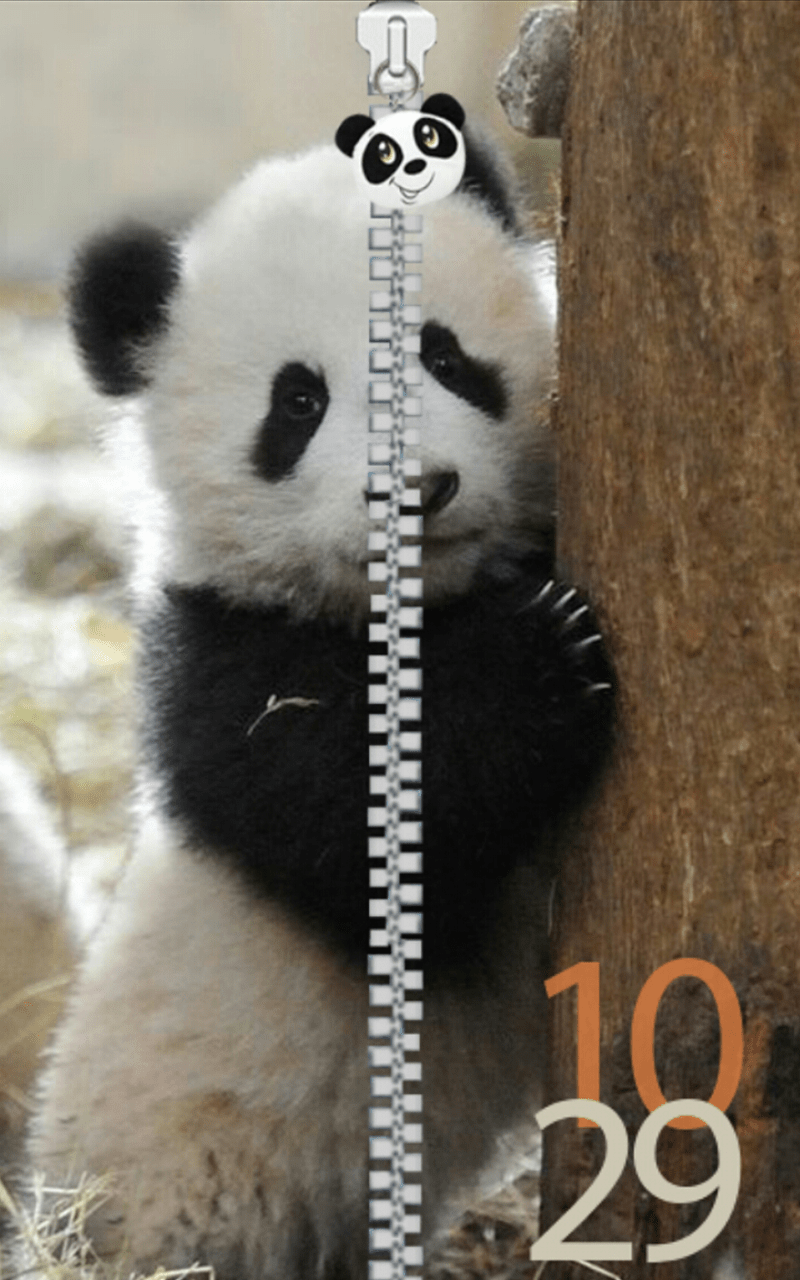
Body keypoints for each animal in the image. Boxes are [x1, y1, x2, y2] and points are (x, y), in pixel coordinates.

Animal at [27, 124, 614, 1280]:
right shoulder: (219, 664)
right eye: (297, 401)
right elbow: (356, 824)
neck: (420, 602)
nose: (419, 490)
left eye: (445, 355)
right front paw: (540, 660)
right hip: (182, 1184)